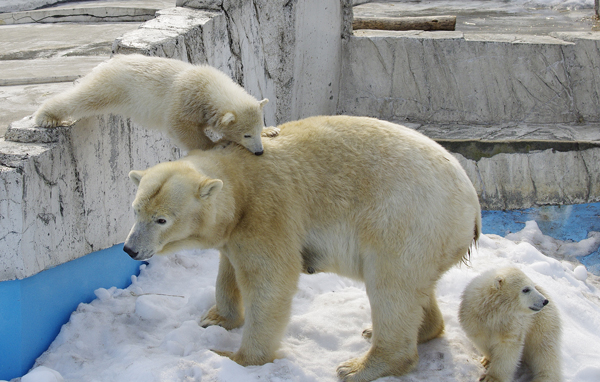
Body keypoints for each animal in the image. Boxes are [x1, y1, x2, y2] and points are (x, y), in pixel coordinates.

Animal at [124, 115, 480, 380]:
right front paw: (215, 318)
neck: (240, 174)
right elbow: (229, 269)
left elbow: (271, 281)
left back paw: (358, 366)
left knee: (392, 287)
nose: (129, 250)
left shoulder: (268, 210)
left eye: (161, 220)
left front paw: (235, 357)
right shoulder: (237, 227)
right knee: (415, 287)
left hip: (406, 218)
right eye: (136, 210)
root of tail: (471, 204)